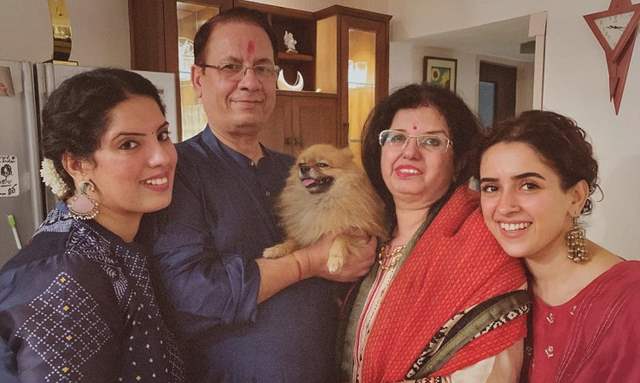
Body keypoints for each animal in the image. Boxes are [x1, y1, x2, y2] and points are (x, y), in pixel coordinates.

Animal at [264, 144, 388, 272]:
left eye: (322, 165)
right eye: (301, 164)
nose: (304, 168)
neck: (322, 201)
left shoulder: (364, 233)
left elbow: (342, 236)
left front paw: (335, 259)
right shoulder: (305, 236)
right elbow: (292, 241)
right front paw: (276, 249)